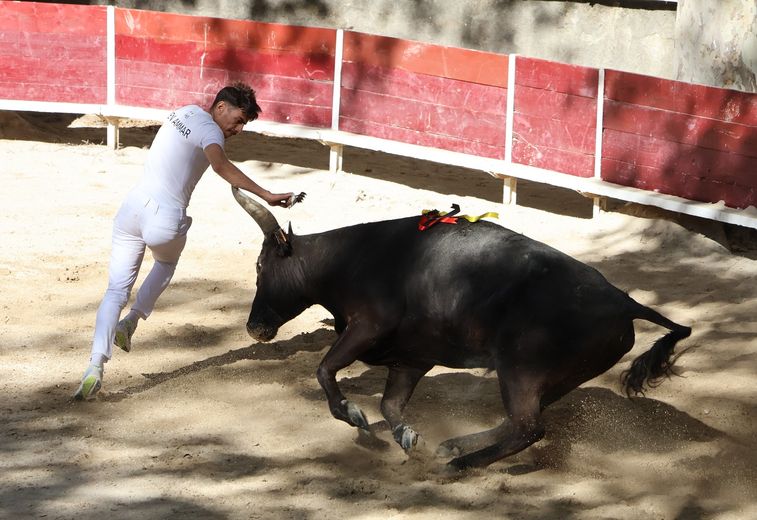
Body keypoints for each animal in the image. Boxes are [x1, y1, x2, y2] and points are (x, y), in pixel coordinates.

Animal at [232, 188, 692, 472]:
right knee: (519, 423)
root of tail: (622, 300)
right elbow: (390, 405)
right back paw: (453, 446)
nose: (254, 328)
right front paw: (406, 435)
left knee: (529, 427)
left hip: (520, 370)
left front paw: (353, 415)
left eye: (260, 266)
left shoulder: (368, 326)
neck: (348, 260)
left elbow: (326, 370)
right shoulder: (411, 358)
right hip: (557, 377)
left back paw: (459, 463)